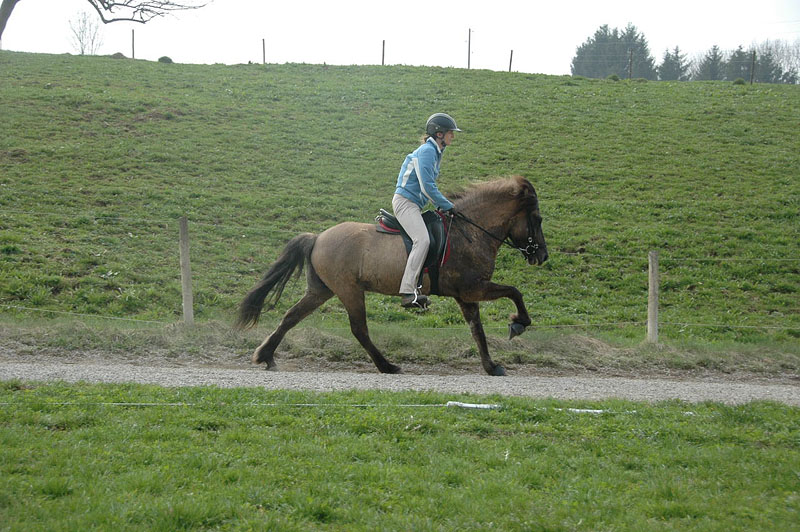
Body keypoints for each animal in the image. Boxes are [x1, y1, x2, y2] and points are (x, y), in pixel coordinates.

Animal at [236, 175, 548, 376]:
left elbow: (478, 331)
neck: (470, 231)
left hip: (321, 290)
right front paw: (518, 323)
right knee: (359, 329)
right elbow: (515, 292)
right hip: (349, 291)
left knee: (291, 317)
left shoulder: (467, 296)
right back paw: (387, 366)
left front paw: (491, 366)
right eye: (537, 218)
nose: (542, 256)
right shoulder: (474, 288)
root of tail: (318, 237)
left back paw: (266, 356)